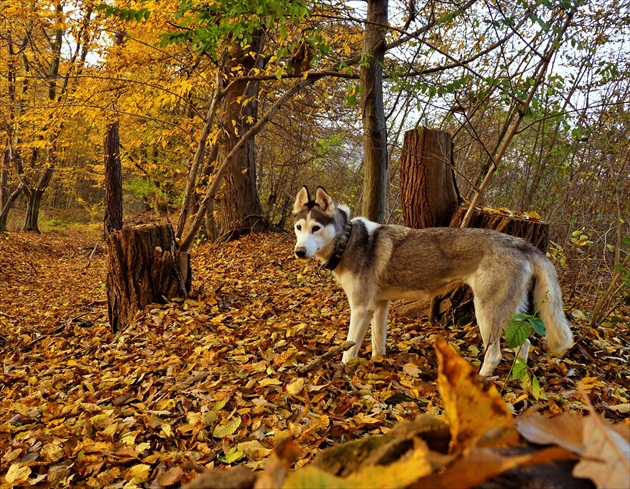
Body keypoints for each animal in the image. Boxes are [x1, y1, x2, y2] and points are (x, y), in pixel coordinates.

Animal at [294, 185, 576, 376]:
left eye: (316, 228)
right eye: (299, 228)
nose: (299, 252)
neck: (347, 240)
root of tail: (520, 242)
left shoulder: (361, 309)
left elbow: (349, 349)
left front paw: (344, 370)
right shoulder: (380, 306)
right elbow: (378, 342)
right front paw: (378, 363)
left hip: (487, 313)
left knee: (495, 355)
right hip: (508, 314)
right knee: (524, 344)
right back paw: (517, 378)